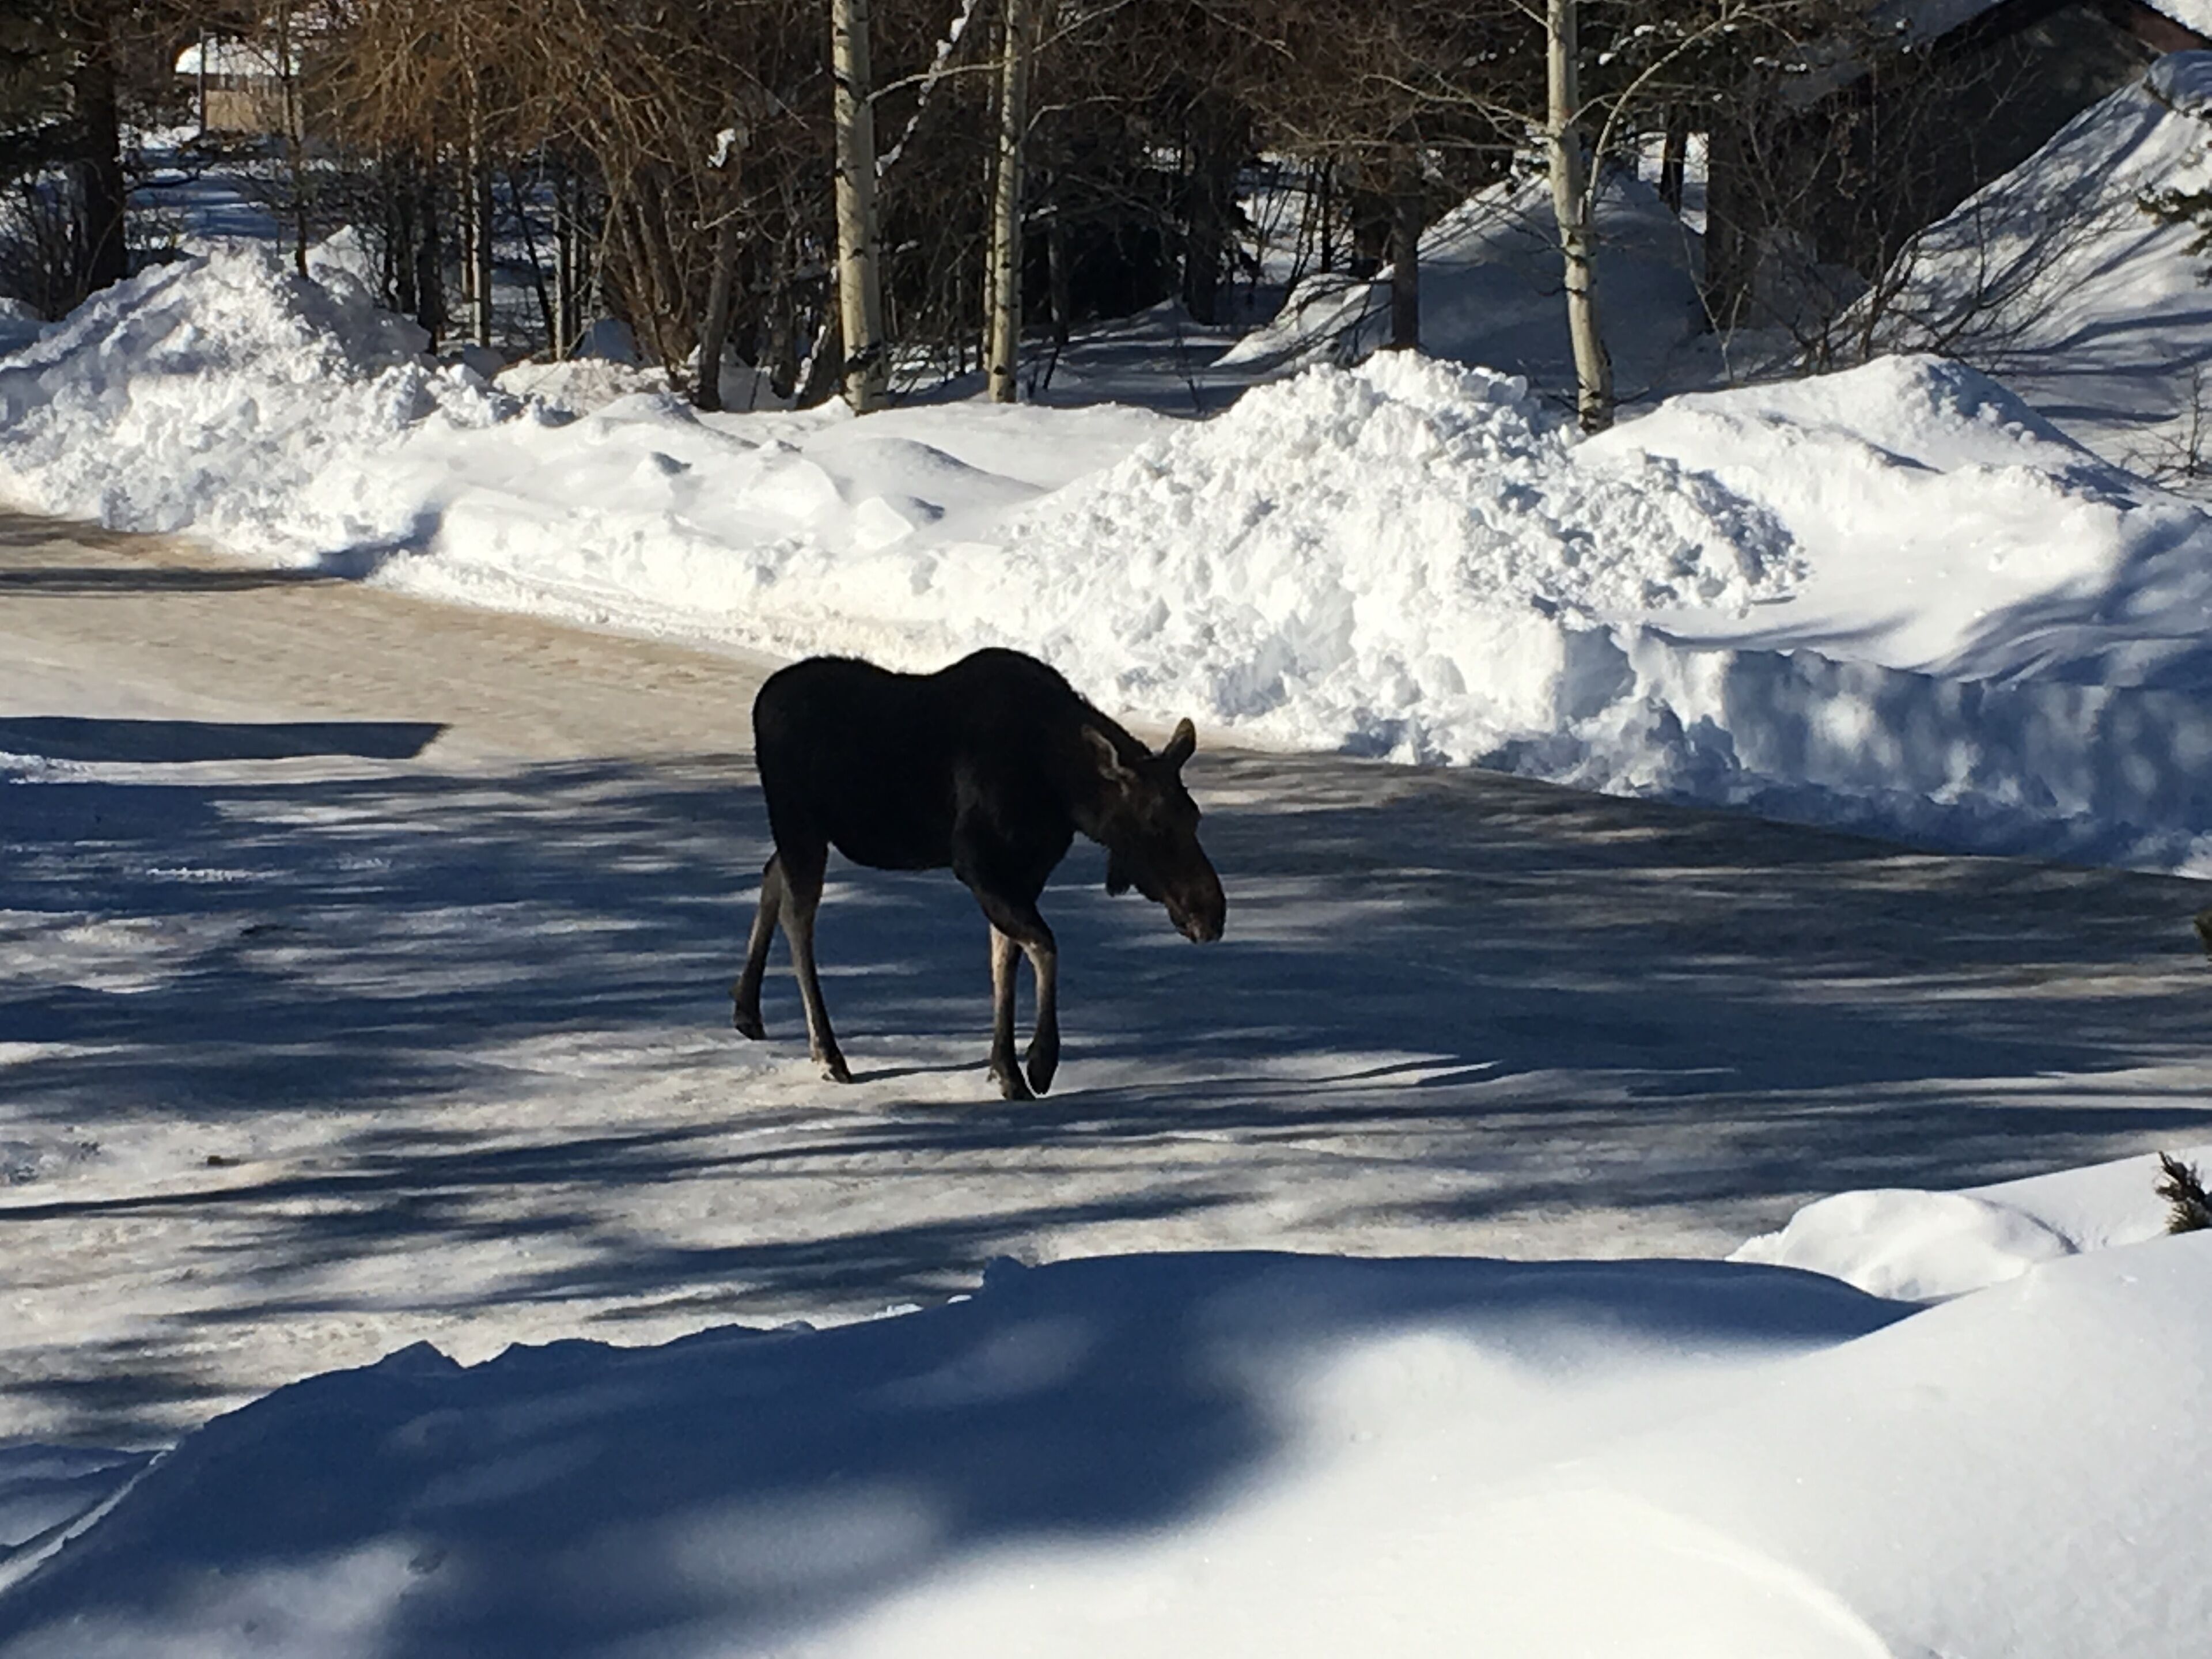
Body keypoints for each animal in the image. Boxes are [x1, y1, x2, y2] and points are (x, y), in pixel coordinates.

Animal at [732, 648, 1226, 1099]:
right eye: (1154, 824)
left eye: (1195, 816)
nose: (1212, 913)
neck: (1061, 791)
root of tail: (759, 702)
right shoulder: (978, 863)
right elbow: (1044, 946)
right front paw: (1040, 1062)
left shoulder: (1024, 875)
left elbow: (1005, 958)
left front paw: (1005, 1068)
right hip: (800, 823)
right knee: (799, 918)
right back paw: (827, 1052)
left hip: (806, 832)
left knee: (771, 874)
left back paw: (747, 1011)